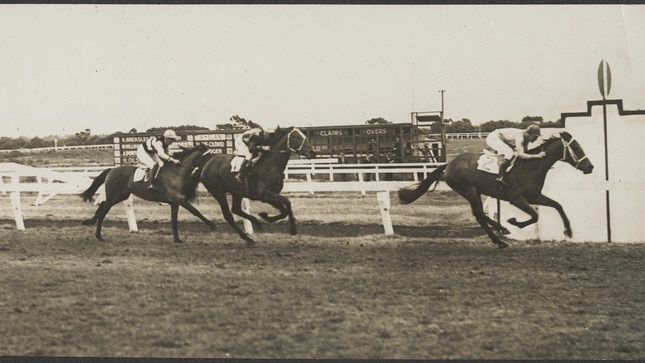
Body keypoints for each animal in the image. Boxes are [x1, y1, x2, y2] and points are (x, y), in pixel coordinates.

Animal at [80, 144, 214, 243]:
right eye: (209, 156)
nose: (213, 164)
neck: (177, 172)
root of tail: (111, 170)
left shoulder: (175, 202)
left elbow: (174, 221)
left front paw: (177, 239)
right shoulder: (179, 199)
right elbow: (196, 211)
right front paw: (212, 224)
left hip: (121, 195)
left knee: (102, 207)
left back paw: (93, 226)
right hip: (114, 195)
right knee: (103, 211)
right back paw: (99, 235)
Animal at [398, 132, 592, 250]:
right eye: (576, 148)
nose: (590, 167)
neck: (530, 166)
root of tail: (448, 165)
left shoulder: (534, 196)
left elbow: (557, 205)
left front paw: (569, 231)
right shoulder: (516, 198)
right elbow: (535, 216)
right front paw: (515, 222)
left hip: (473, 191)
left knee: (479, 214)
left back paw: (500, 233)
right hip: (469, 189)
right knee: (479, 214)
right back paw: (500, 237)